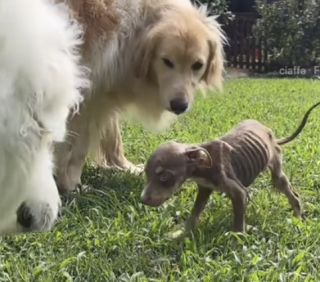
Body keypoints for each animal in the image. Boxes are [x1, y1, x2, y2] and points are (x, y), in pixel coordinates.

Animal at [141, 101, 320, 234]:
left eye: (164, 176)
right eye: (146, 174)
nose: (142, 200)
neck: (202, 165)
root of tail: (270, 133)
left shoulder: (238, 192)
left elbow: (238, 222)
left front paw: (237, 241)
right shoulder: (204, 189)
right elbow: (194, 213)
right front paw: (182, 233)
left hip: (276, 170)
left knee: (292, 195)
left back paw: (297, 218)